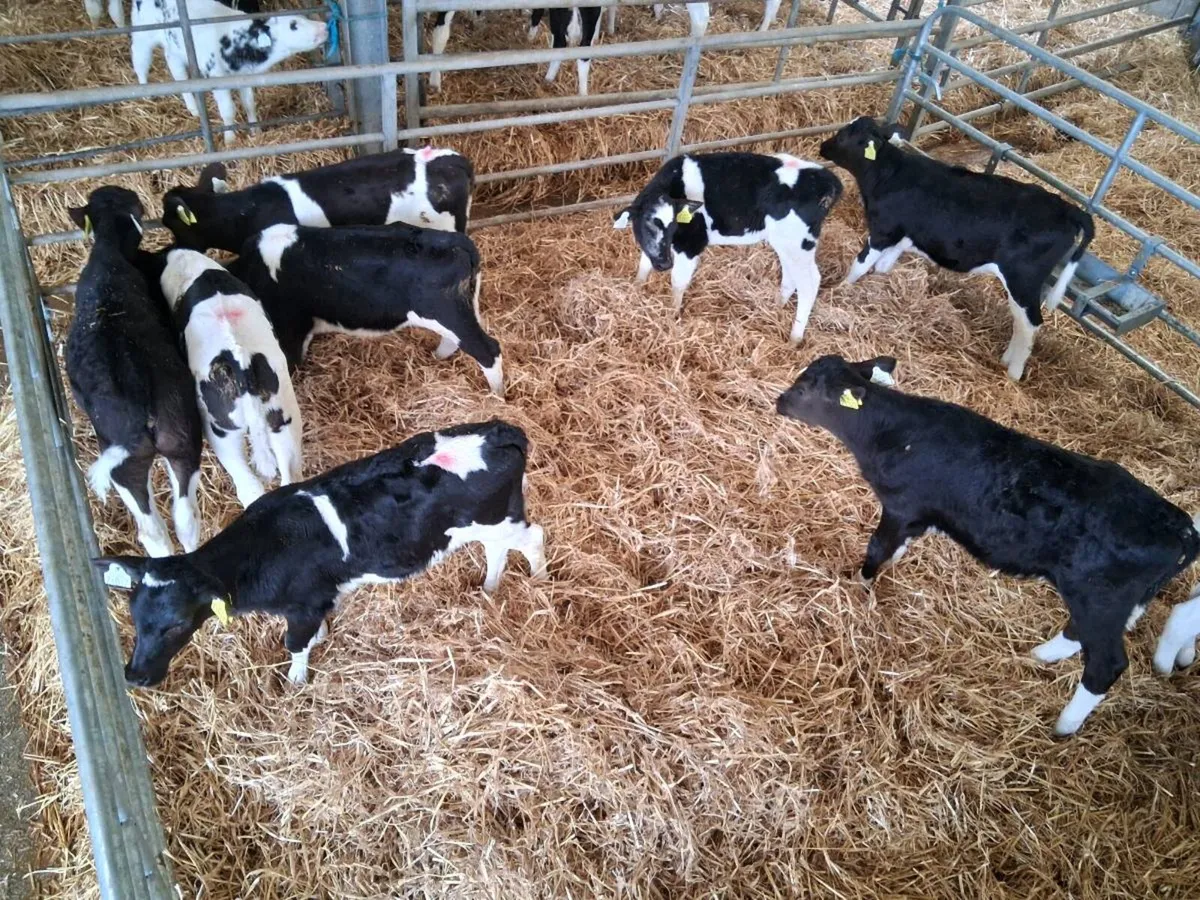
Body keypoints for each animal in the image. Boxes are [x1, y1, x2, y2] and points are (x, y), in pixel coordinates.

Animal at [95, 420, 548, 687]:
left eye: (175, 625)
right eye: (134, 617)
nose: (134, 676)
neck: (261, 550)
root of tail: (502, 430)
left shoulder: (304, 604)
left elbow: (295, 644)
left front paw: (296, 679)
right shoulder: (321, 598)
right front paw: (322, 639)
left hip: (501, 518)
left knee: (534, 538)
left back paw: (539, 579)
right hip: (484, 524)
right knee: (497, 550)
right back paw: (489, 587)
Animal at [613, 151, 843, 344]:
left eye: (674, 225)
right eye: (647, 224)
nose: (663, 263)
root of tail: (826, 178)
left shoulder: (691, 244)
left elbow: (678, 282)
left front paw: (672, 315)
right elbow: (643, 266)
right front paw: (635, 290)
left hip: (798, 243)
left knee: (809, 284)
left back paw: (794, 339)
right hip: (786, 243)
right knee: (791, 277)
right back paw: (776, 307)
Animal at [776, 353, 1200, 736]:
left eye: (804, 389)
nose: (779, 401)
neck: (894, 434)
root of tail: (1181, 527)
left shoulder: (901, 505)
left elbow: (877, 547)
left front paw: (860, 584)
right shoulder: (920, 516)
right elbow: (897, 547)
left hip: (1099, 597)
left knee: (1104, 666)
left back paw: (1063, 727)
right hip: (1112, 601)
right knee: (1081, 635)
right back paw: (1040, 656)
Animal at [819, 116, 1094, 381]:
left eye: (843, 135)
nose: (822, 146)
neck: (889, 175)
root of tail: (1068, 208)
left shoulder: (882, 232)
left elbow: (859, 265)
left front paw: (837, 292)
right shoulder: (902, 237)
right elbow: (882, 268)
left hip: (1022, 278)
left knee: (1031, 324)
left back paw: (1014, 373)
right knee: (1021, 321)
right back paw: (1006, 360)